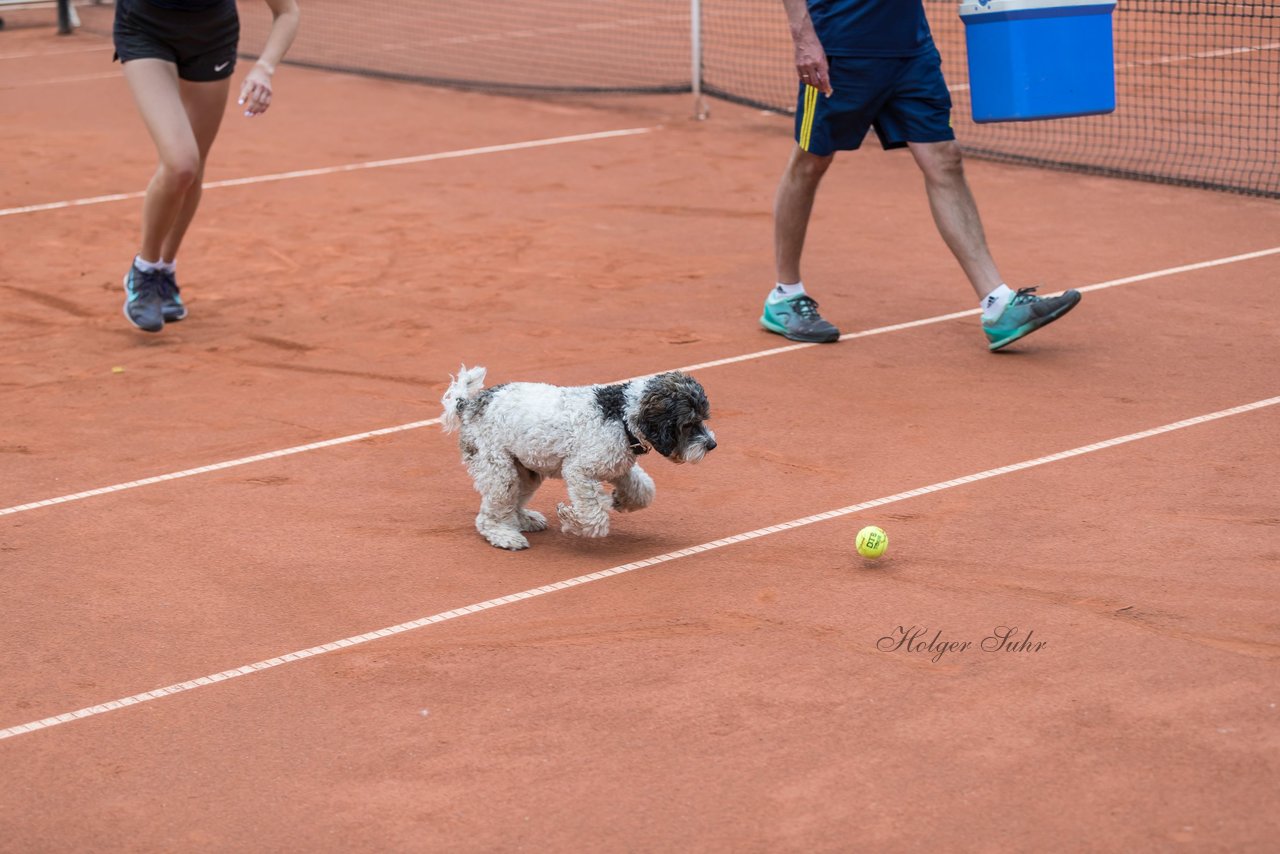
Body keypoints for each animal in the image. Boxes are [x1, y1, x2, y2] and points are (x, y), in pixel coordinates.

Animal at [442, 366, 716, 550]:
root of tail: (468, 404)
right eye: (688, 424)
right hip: (499, 469)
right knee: (487, 516)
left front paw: (620, 500)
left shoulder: (618, 466)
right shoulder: (579, 471)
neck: (621, 415)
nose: (712, 444)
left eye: (702, 418)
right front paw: (572, 519)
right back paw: (504, 535)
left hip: (526, 469)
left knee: (511, 503)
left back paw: (523, 519)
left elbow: (644, 491)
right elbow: (595, 516)